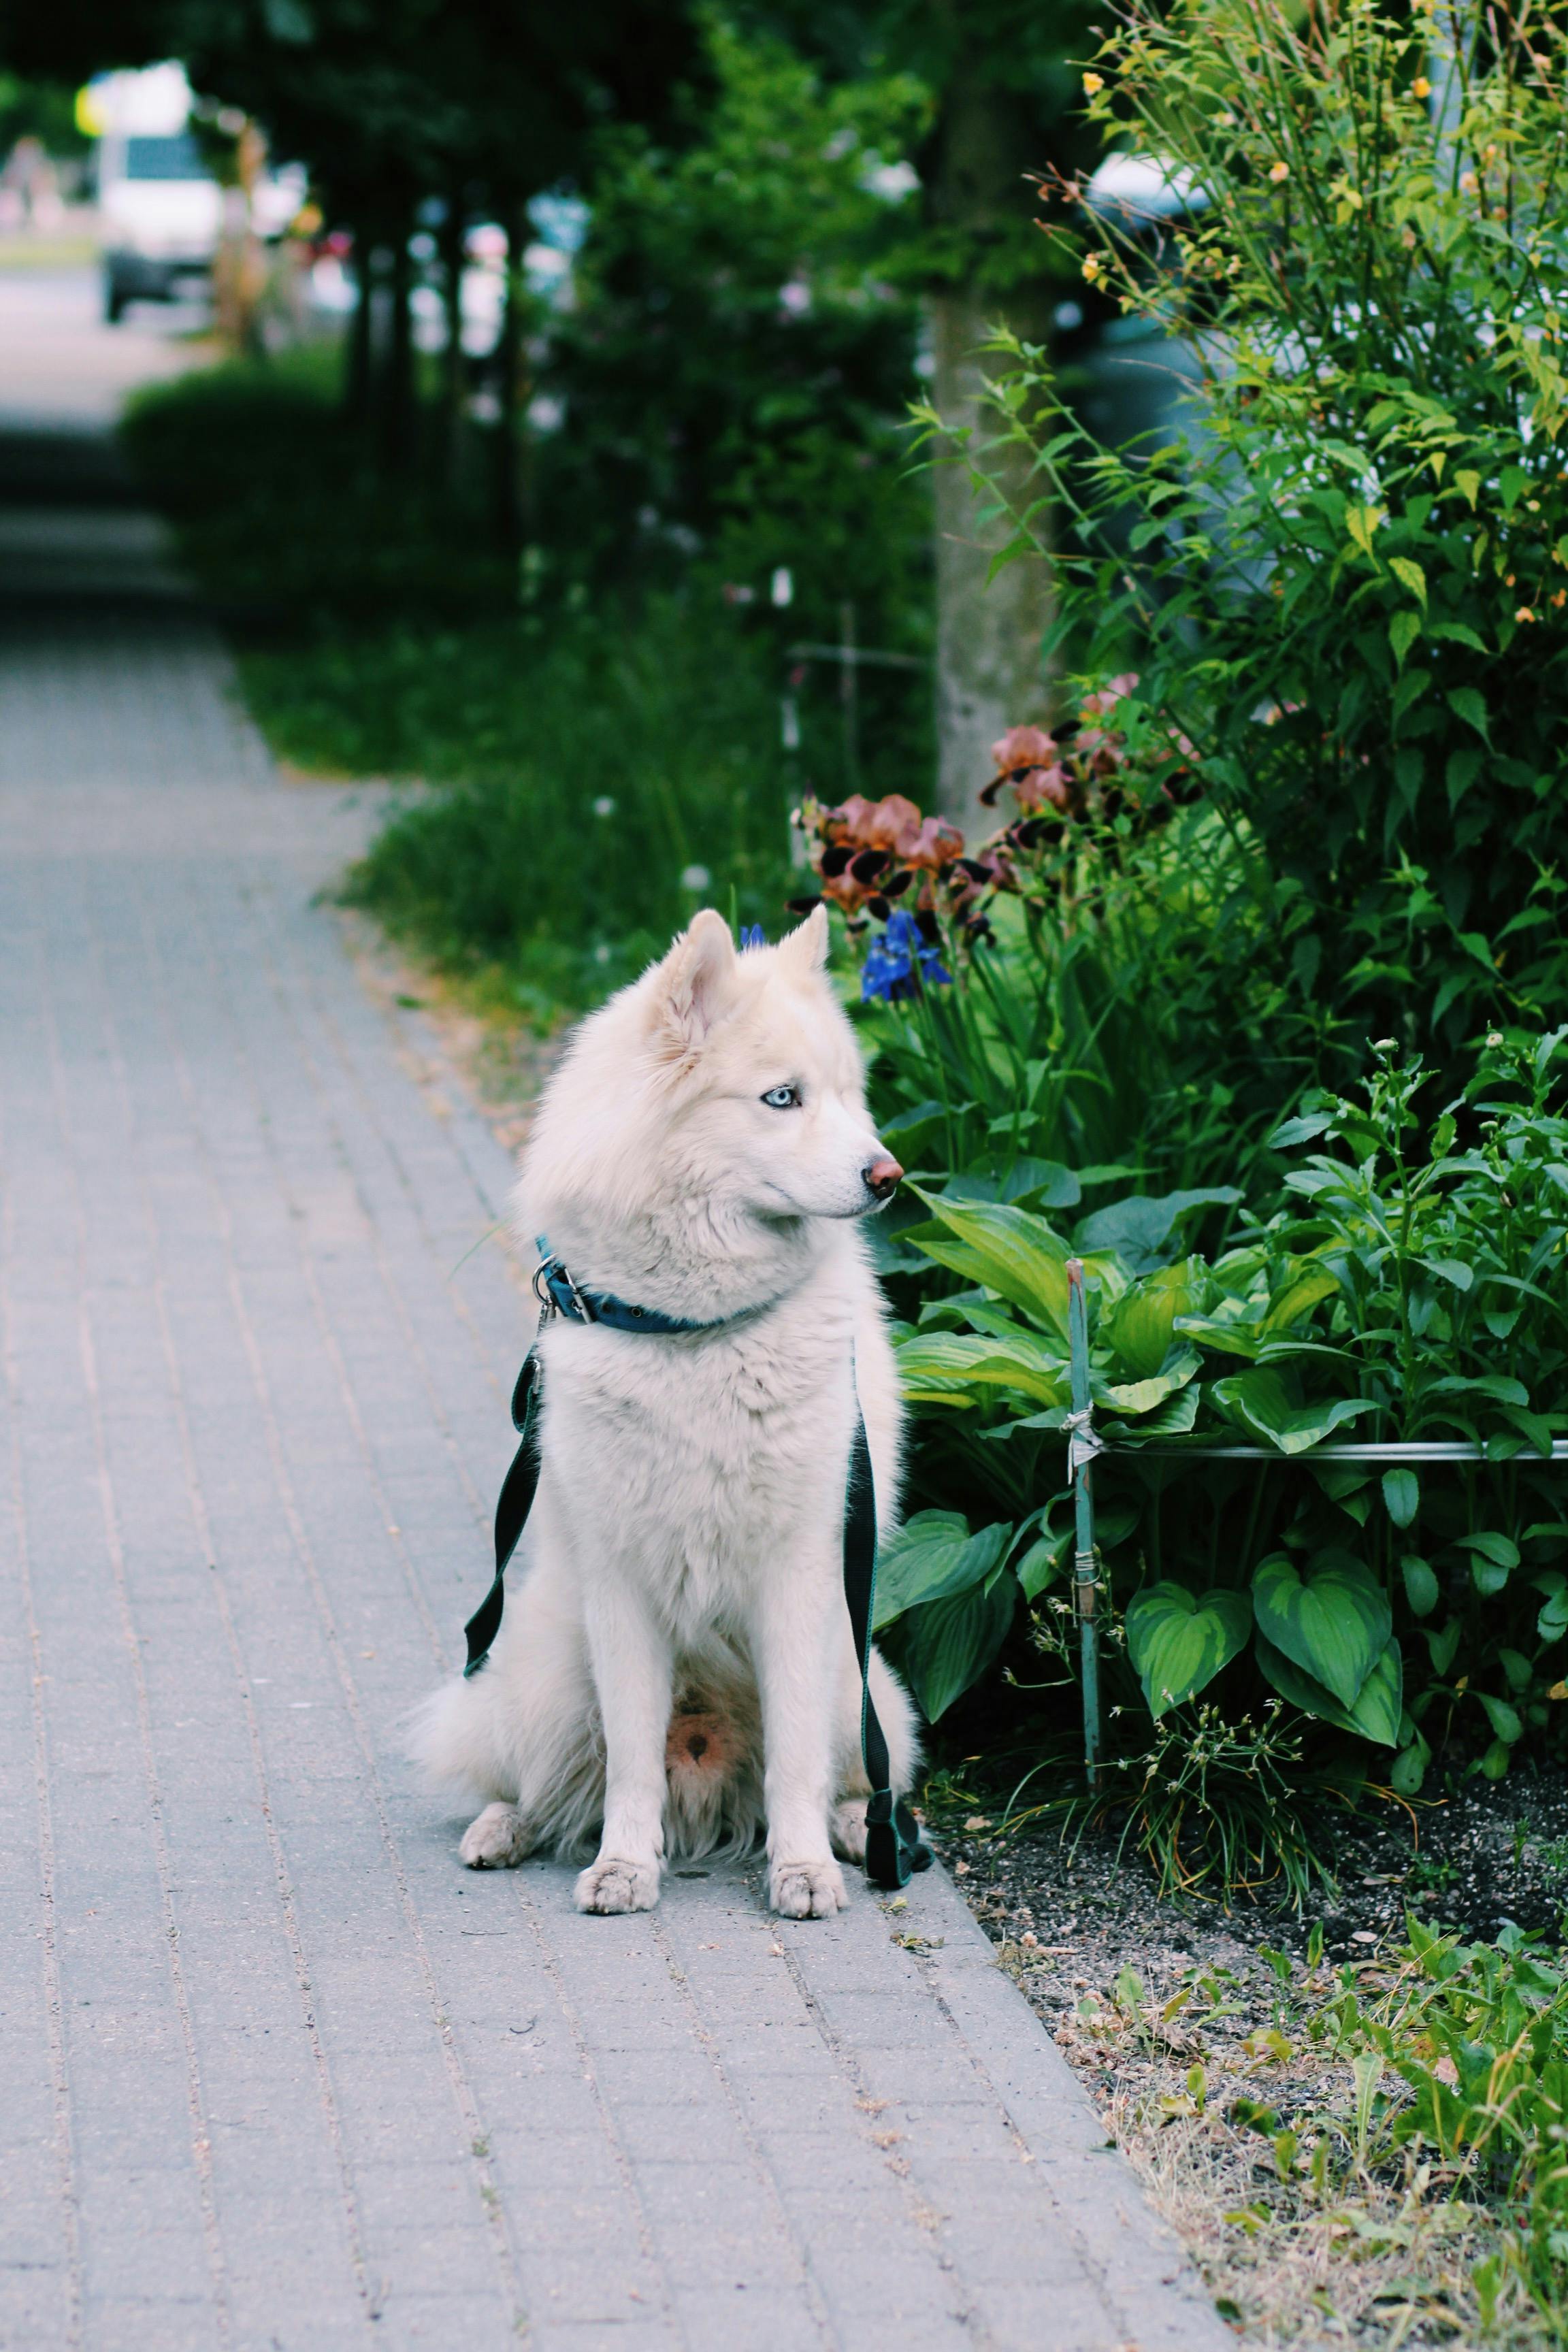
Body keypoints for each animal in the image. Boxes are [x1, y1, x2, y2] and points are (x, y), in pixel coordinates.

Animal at [423, 898, 926, 1910]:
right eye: (783, 1098)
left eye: (848, 1094)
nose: (889, 1175)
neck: (701, 1332)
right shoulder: (621, 1587)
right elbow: (628, 1765)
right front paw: (624, 1866)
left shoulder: (801, 1581)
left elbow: (796, 1762)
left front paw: (802, 1869)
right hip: (539, 1675)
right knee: (550, 1788)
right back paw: (505, 1827)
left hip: (866, 1689)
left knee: (851, 1775)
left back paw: (859, 1830)